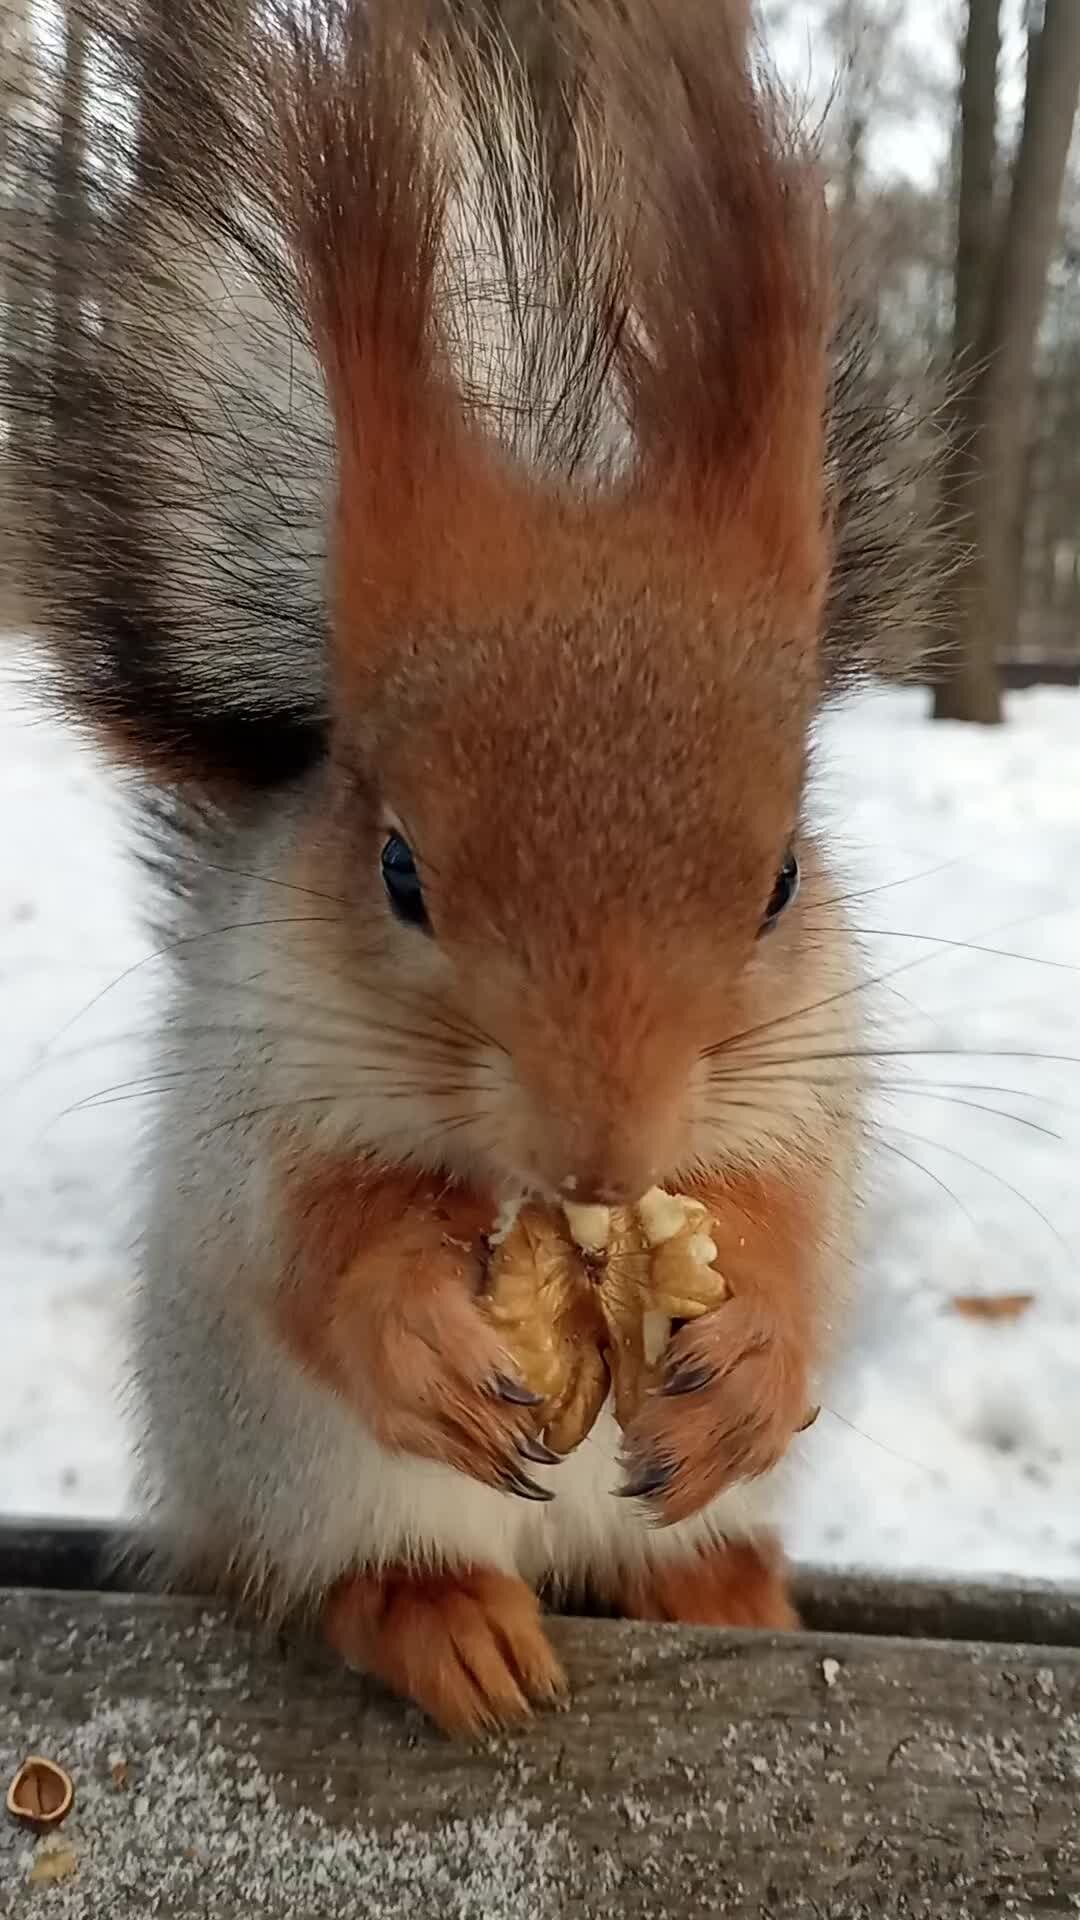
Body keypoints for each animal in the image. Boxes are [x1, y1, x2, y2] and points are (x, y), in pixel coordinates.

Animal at [0, 0, 926, 1743]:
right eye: (399, 872)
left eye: (781, 877)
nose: (603, 1151)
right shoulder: (261, 1079)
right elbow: (310, 1240)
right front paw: (412, 1327)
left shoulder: (812, 1069)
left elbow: (787, 1211)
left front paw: (757, 1348)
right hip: (301, 1469)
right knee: (355, 1565)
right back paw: (443, 1622)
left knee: (683, 1548)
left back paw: (727, 1585)